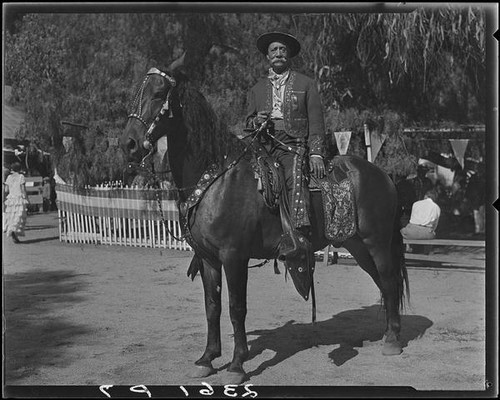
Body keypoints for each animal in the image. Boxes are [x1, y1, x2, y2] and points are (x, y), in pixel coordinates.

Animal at [121, 65, 410, 384]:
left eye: (159, 93)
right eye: (134, 92)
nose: (128, 143)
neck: (217, 179)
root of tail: (383, 175)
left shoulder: (234, 256)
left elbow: (236, 308)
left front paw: (237, 364)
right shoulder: (208, 258)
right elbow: (212, 307)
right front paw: (207, 358)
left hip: (377, 242)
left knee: (389, 280)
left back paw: (393, 341)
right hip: (357, 246)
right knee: (383, 283)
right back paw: (388, 333)